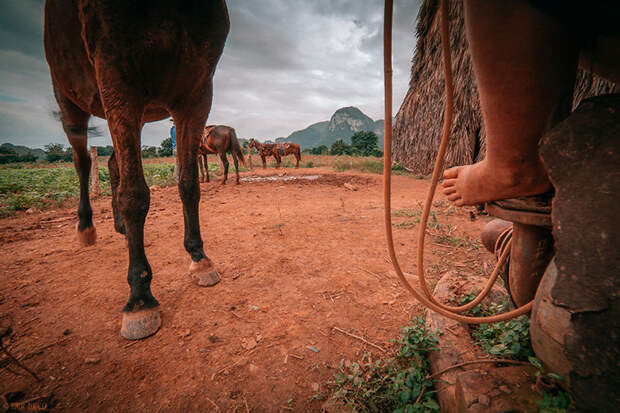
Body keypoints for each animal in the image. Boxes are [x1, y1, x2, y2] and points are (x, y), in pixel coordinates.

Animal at [44, 0, 230, 340]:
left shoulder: (196, 93)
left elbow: (188, 184)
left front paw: (199, 259)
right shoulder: (117, 79)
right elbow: (133, 195)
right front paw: (140, 297)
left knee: (113, 163)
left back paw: (120, 227)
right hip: (70, 99)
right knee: (82, 161)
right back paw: (85, 226)